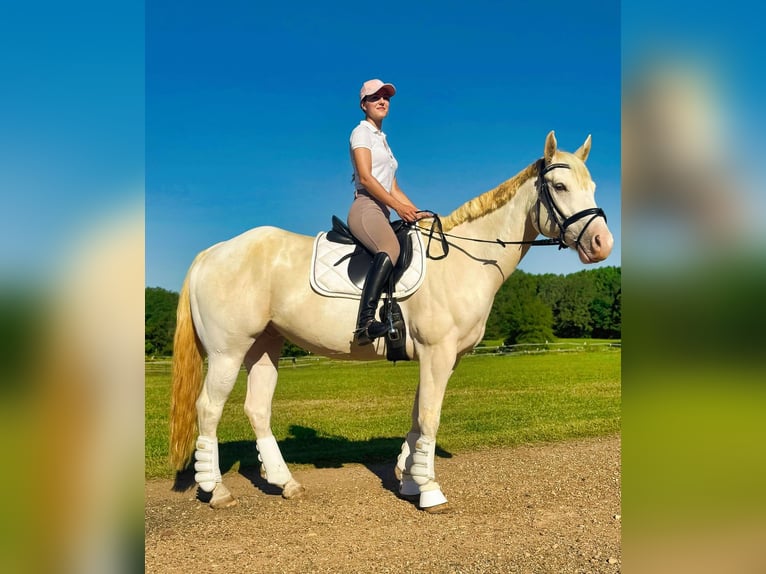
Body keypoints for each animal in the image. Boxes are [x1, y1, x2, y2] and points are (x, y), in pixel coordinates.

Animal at [169, 131, 614, 512]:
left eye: (593, 187)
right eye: (559, 187)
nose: (602, 245)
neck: (463, 261)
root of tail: (213, 252)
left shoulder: (443, 358)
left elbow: (418, 416)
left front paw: (411, 479)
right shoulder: (438, 353)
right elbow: (430, 416)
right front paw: (430, 491)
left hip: (264, 345)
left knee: (257, 409)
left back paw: (285, 483)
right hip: (228, 352)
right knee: (209, 408)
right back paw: (216, 489)